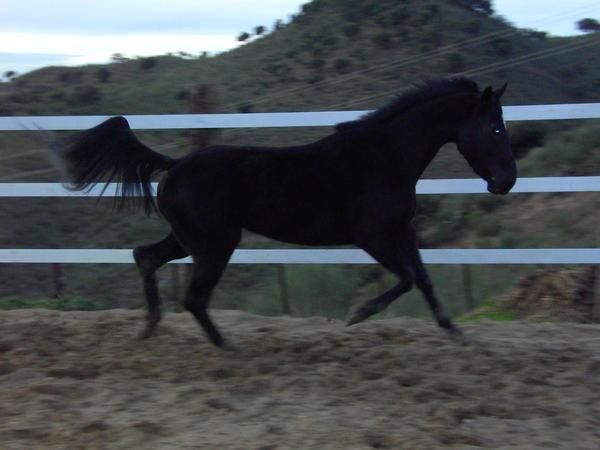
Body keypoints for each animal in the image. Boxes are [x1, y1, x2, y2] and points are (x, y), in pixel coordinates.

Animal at [52, 77, 516, 348]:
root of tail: (174, 165)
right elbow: (404, 279)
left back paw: (149, 328)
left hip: (190, 239)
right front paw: (357, 316)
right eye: (495, 128)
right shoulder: (373, 237)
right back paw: (225, 347)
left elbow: (422, 278)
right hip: (216, 244)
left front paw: (455, 331)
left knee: (146, 257)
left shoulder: (401, 232)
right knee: (194, 296)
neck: (387, 157)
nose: (506, 181)